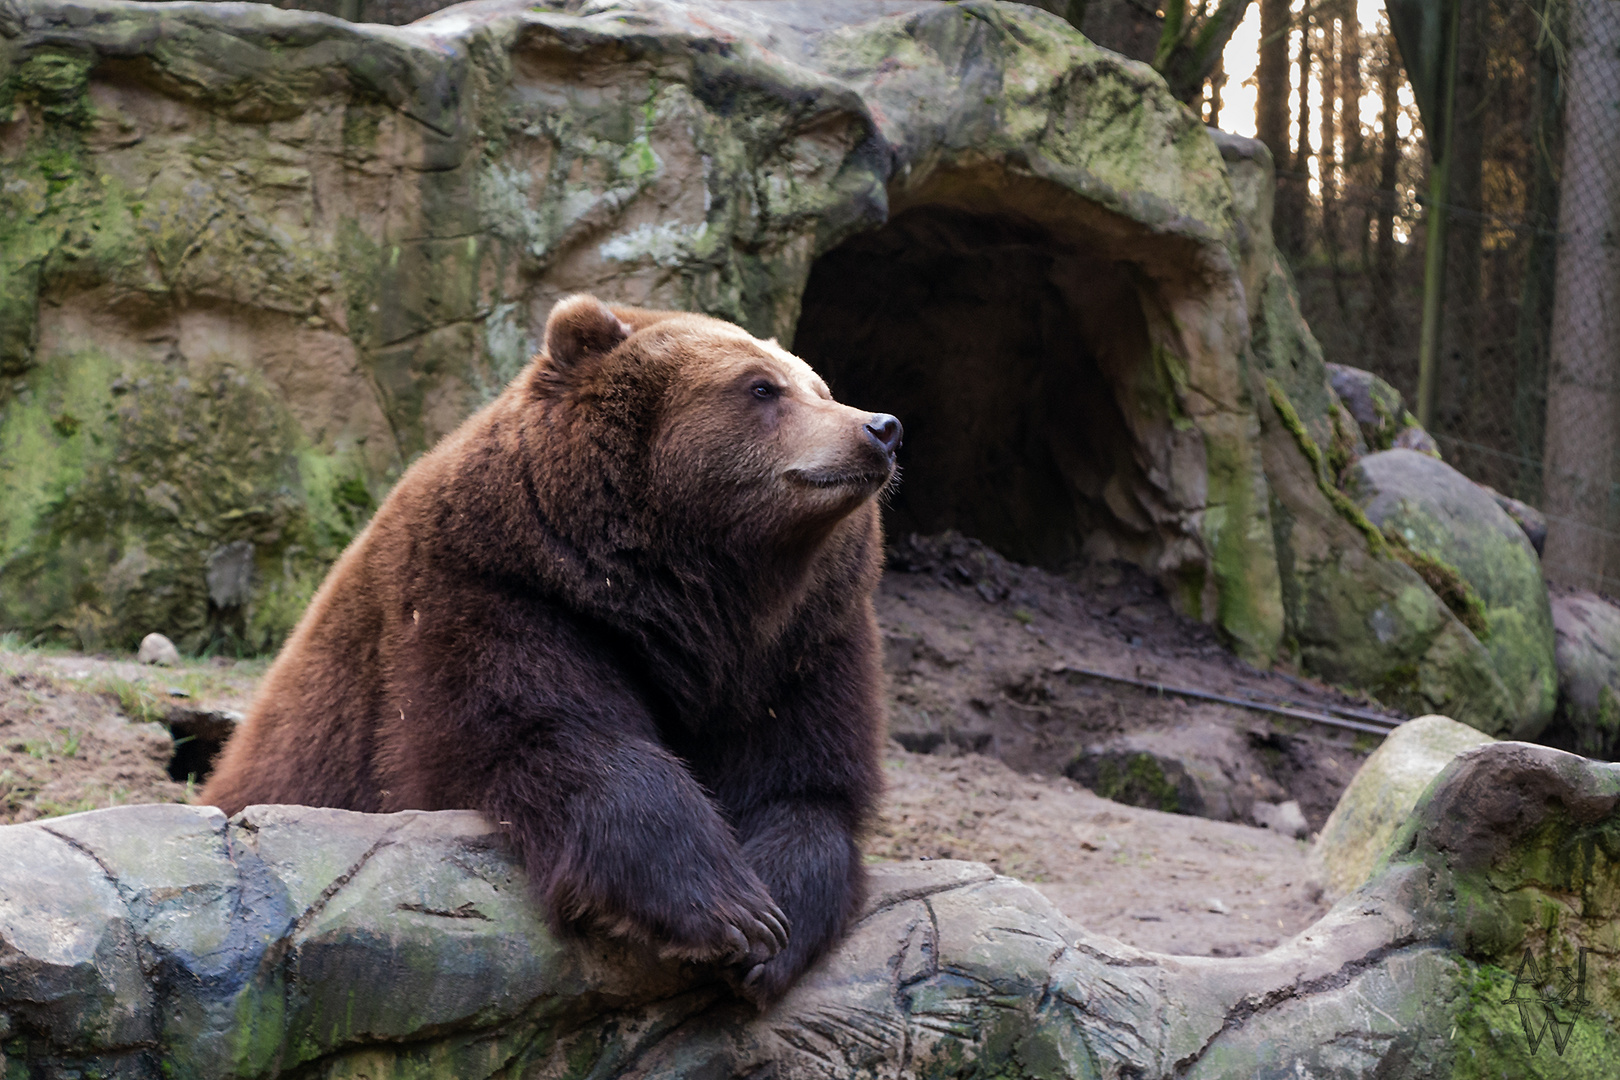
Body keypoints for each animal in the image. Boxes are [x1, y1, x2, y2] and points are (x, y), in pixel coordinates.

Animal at [200, 293, 900, 1003]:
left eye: (820, 386)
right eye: (761, 387)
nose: (880, 426)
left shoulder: (801, 647)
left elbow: (803, 787)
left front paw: (774, 925)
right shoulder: (497, 594)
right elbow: (554, 734)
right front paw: (725, 907)